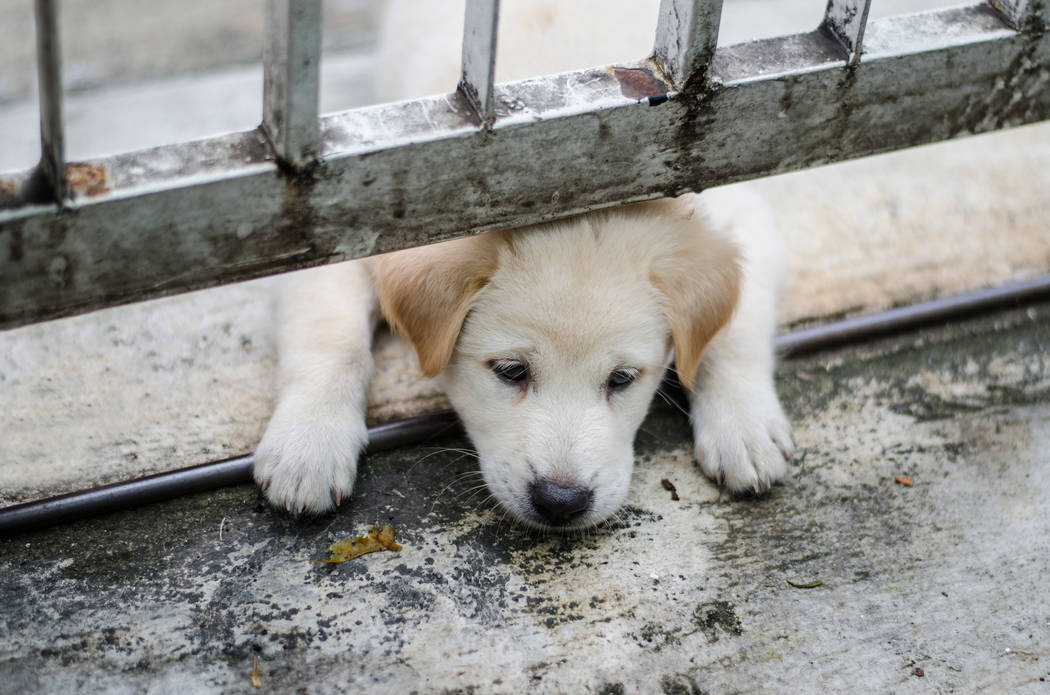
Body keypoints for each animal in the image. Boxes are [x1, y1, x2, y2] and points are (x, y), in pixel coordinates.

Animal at [256, 0, 793, 529]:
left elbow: (734, 333)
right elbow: (333, 339)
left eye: (622, 379)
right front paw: (308, 442)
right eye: (511, 371)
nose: (561, 503)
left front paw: (745, 426)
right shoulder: (339, 234)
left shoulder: (736, 211)